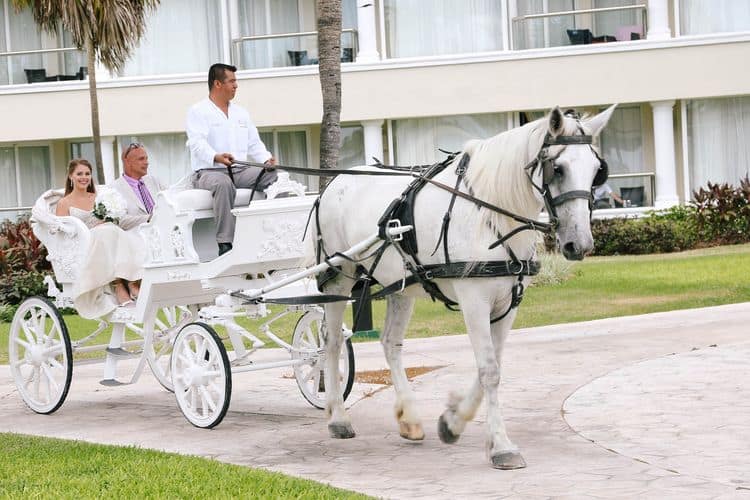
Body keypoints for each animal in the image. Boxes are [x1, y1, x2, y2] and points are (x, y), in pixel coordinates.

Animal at [312, 105, 616, 468]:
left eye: (597, 171)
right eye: (557, 168)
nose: (579, 244)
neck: (491, 215)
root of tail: (335, 181)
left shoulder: (508, 304)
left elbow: (492, 368)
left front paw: (453, 421)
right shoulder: (474, 300)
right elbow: (490, 371)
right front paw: (501, 446)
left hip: (400, 285)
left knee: (390, 343)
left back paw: (409, 418)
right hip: (338, 275)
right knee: (331, 342)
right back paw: (338, 417)